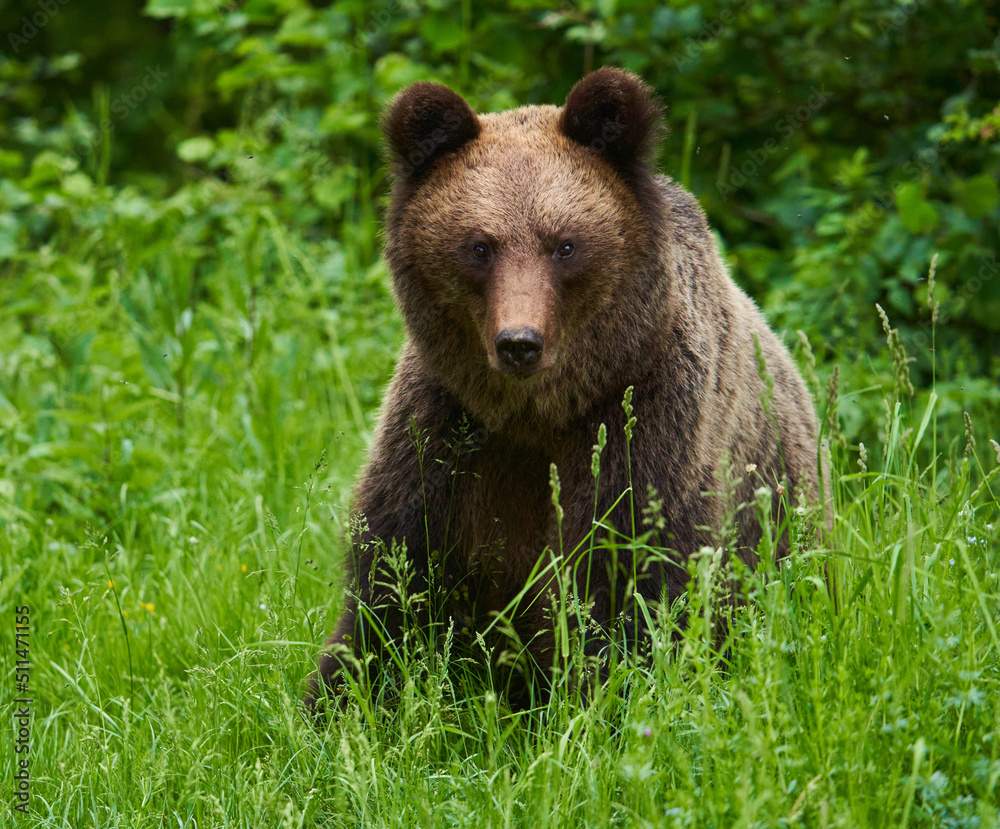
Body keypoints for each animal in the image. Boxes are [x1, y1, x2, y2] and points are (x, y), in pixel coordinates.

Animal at [304, 66, 820, 712]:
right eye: (479, 245)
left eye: (565, 243)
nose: (519, 342)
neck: (538, 414)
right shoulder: (444, 433)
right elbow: (393, 591)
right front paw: (340, 701)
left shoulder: (641, 422)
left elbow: (623, 585)